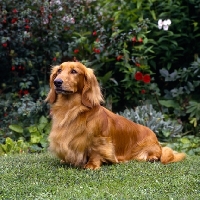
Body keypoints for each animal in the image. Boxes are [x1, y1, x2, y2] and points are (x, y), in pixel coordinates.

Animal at [45, 61, 186, 170]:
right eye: (59, 71)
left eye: (74, 71)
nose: (57, 82)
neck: (72, 109)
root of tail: (157, 140)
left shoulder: (99, 140)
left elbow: (95, 152)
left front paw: (92, 165)